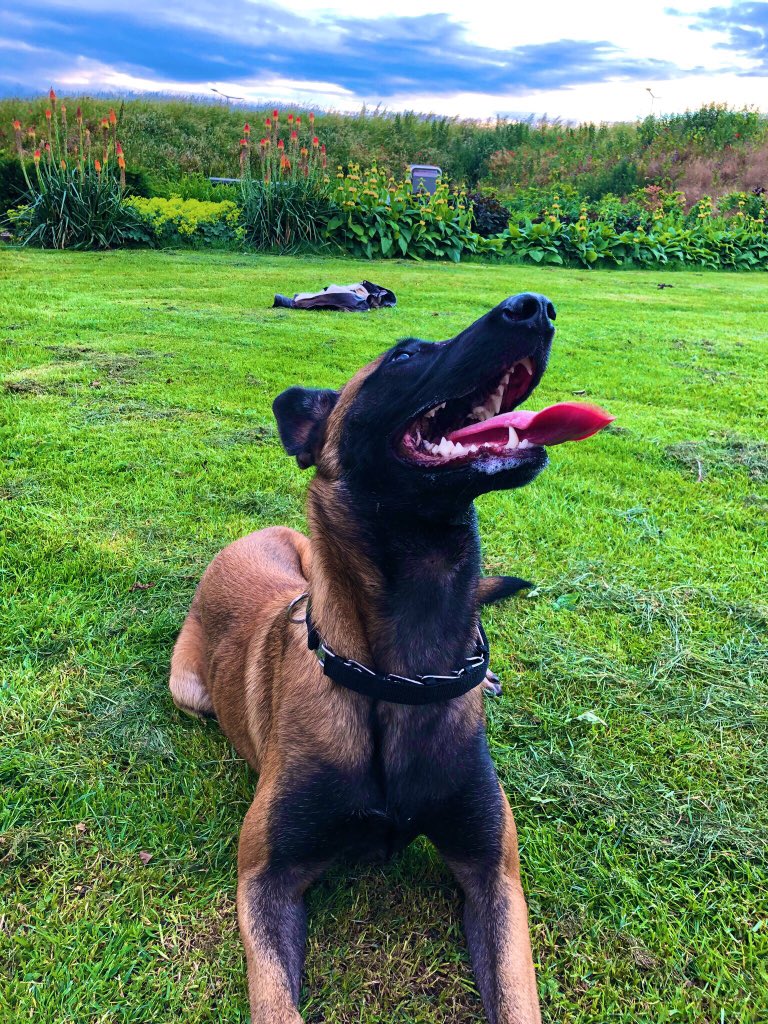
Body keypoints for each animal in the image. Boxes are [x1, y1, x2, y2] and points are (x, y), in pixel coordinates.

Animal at [170, 292, 613, 1023]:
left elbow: (516, 998)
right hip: (190, 689)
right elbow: (277, 1003)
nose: (536, 307)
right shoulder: (266, 877)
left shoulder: (494, 873)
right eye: (404, 355)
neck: (402, 673)